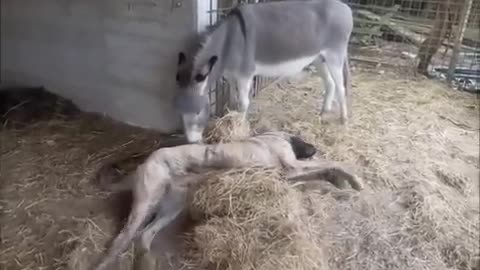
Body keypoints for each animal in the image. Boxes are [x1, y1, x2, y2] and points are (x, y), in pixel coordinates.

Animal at [93, 131, 364, 270]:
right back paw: (105, 263)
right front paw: (353, 180)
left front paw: (340, 185)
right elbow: (332, 164)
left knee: (144, 236)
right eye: (305, 141)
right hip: (145, 204)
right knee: (121, 239)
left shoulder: (287, 175)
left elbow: (321, 177)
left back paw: (147, 262)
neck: (274, 138)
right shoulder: (292, 168)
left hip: (172, 206)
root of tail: (142, 164)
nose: (315, 147)